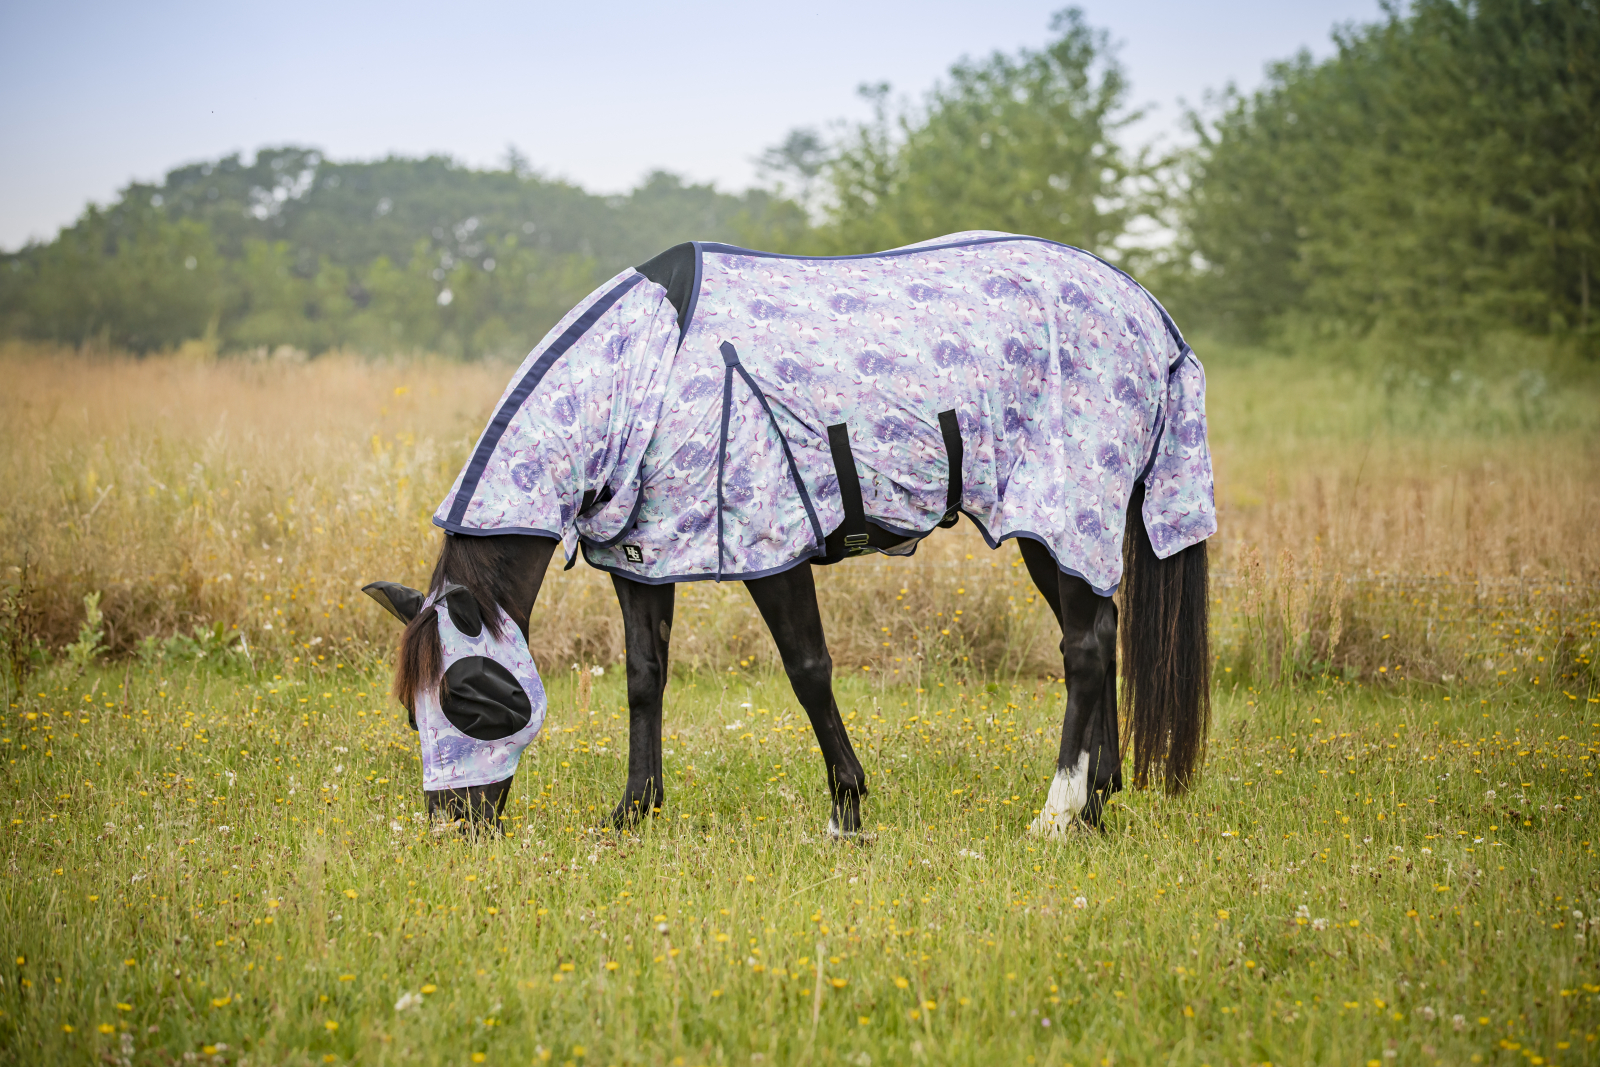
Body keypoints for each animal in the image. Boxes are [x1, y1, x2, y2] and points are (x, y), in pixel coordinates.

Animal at [364, 231, 1215, 838]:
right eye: (412, 712)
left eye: (472, 699)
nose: (453, 828)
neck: (648, 371)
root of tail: (1148, 310)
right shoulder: (642, 559)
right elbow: (644, 679)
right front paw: (633, 812)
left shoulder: (771, 549)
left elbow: (808, 670)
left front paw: (848, 808)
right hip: (1057, 530)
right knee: (1100, 630)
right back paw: (1098, 801)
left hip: (1063, 507)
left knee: (1084, 647)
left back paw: (1057, 813)